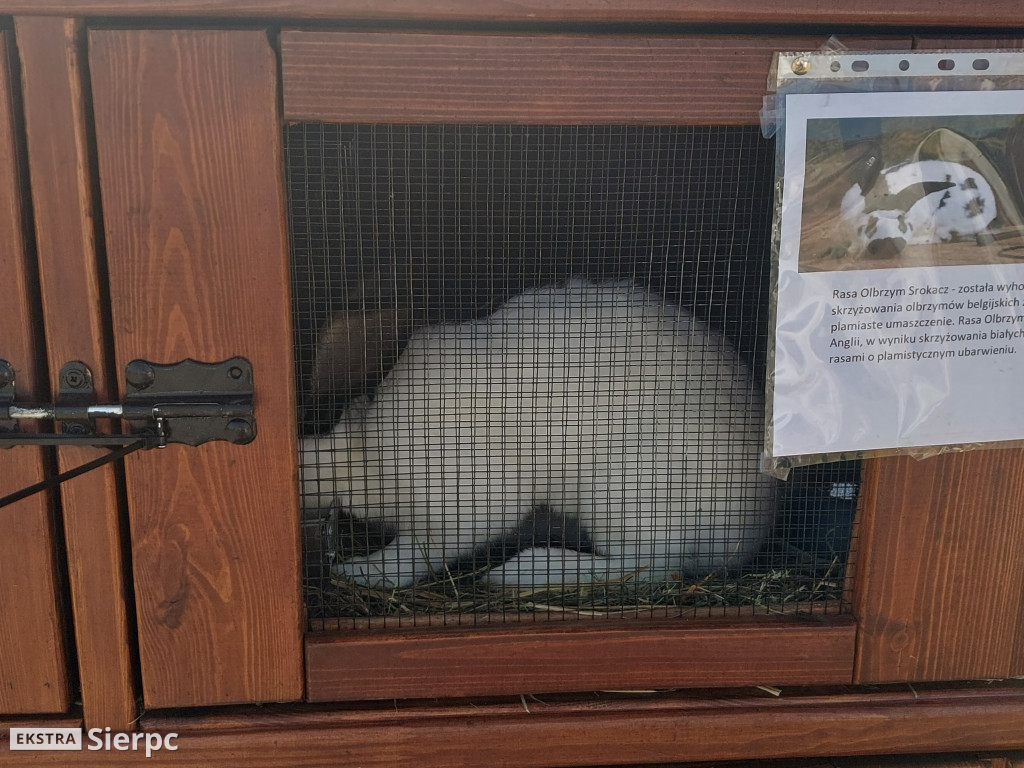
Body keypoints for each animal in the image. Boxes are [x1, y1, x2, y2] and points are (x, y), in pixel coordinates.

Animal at [299, 280, 770, 589]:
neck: (364, 458)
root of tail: (753, 527)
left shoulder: (466, 507)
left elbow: (418, 553)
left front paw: (359, 571)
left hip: (625, 494)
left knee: (651, 566)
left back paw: (516, 573)